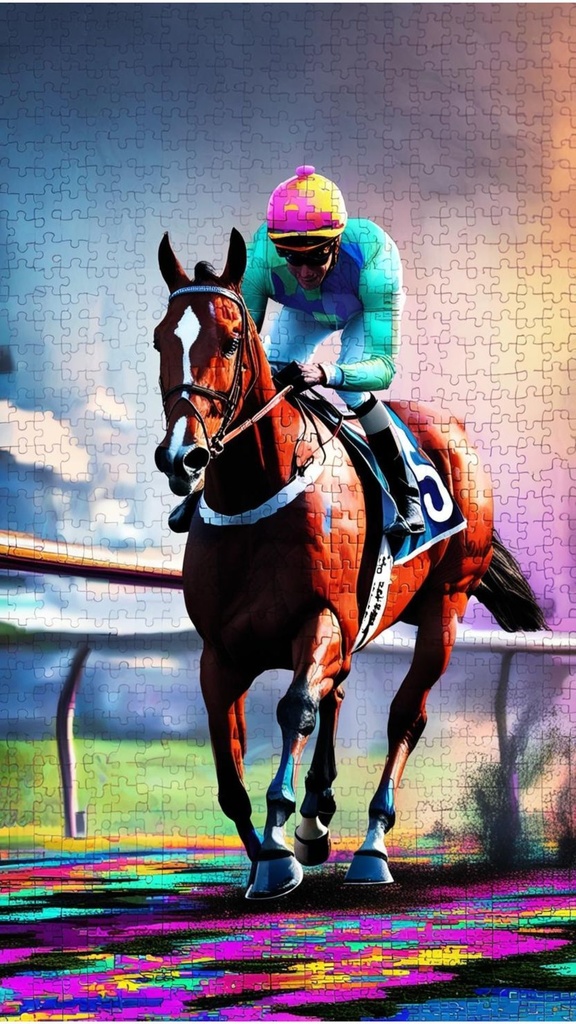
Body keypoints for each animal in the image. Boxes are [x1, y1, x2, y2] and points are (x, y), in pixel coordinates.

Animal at [153, 227, 546, 899]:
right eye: (160, 339)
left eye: (230, 339)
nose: (183, 457)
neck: (258, 492)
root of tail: (457, 428)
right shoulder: (220, 653)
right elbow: (228, 769)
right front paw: (266, 853)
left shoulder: (318, 621)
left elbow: (295, 710)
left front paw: (277, 849)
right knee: (338, 694)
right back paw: (317, 818)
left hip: (445, 606)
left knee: (405, 717)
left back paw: (370, 847)